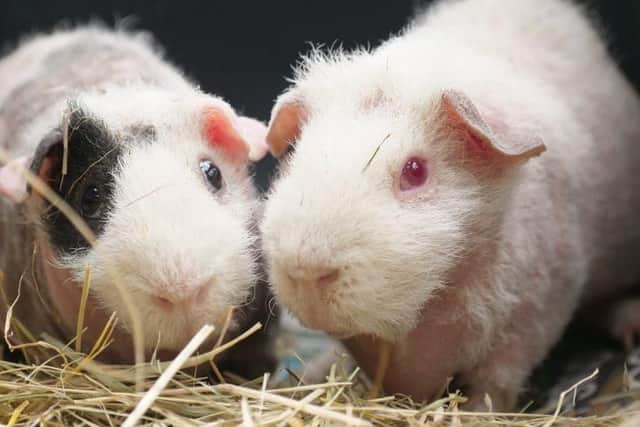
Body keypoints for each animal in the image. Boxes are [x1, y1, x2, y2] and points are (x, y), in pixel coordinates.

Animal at [260, 0, 640, 409]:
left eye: (415, 170)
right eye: (295, 152)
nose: (306, 270)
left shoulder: (530, 322)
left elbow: (494, 386)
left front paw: (478, 411)